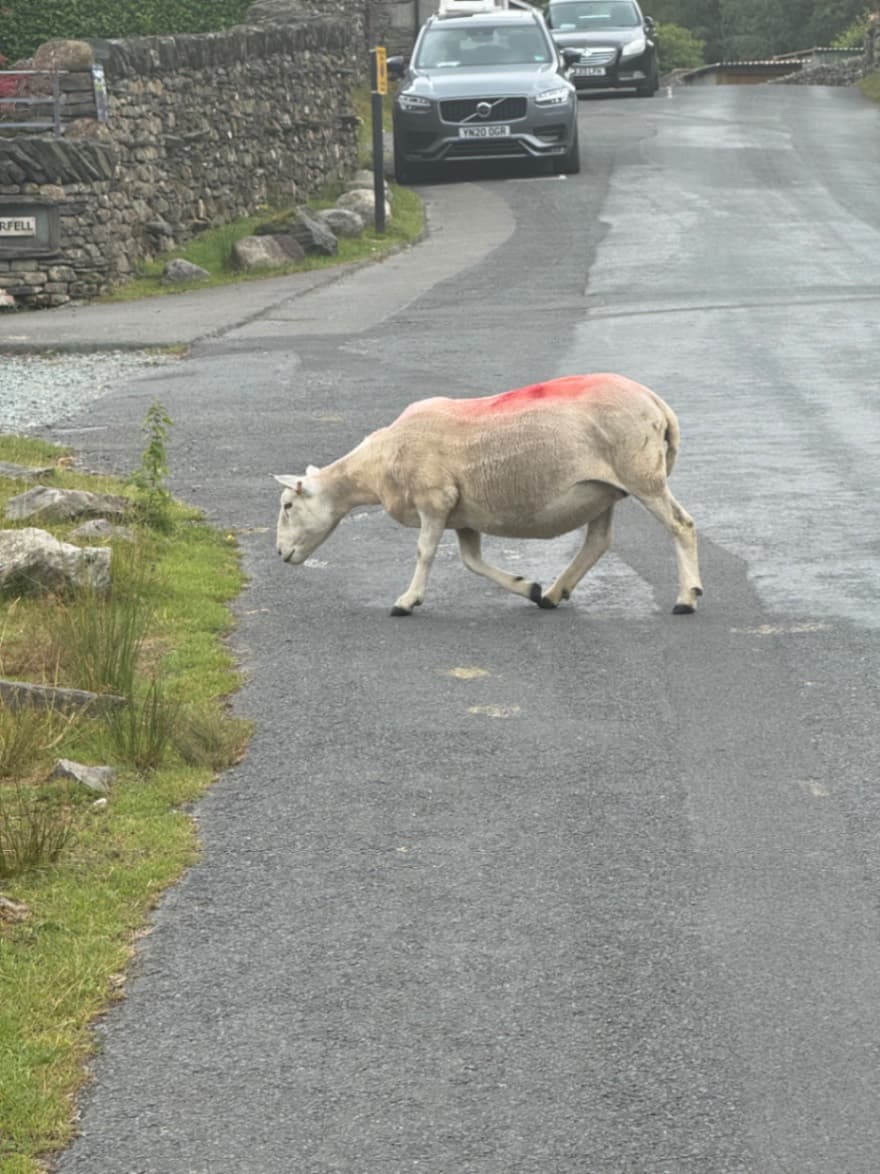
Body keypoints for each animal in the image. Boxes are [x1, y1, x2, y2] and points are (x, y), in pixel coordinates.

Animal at [275, 373, 703, 616]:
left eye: (287, 505)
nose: (280, 554)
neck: (377, 466)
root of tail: (656, 402)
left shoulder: (435, 499)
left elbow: (425, 553)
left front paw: (407, 601)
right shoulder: (463, 514)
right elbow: (472, 562)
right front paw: (526, 587)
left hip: (640, 473)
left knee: (680, 525)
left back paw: (687, 597)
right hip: (604, 489)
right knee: (598, 541)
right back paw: (552, 594)